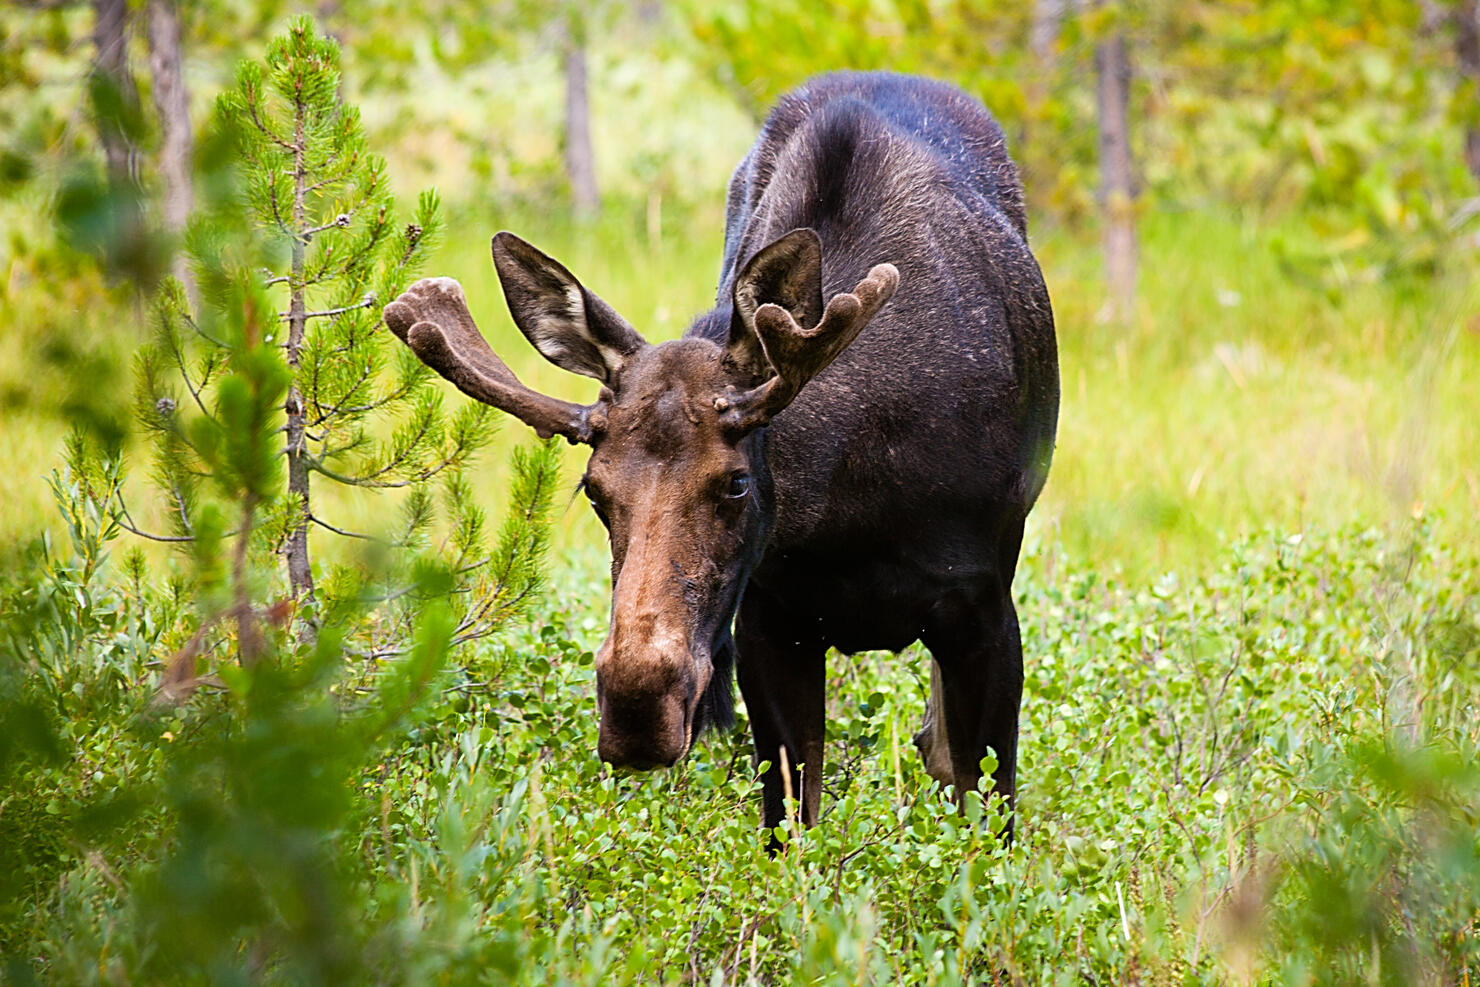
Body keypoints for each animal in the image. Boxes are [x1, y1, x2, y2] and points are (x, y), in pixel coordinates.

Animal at [381, 71, 1053, 840]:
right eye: (593, 490)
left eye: (734, 483)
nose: (638, 706)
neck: (848, 506)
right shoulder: (771, 618)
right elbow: (789, 825)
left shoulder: (985, 606)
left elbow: (989, 816)